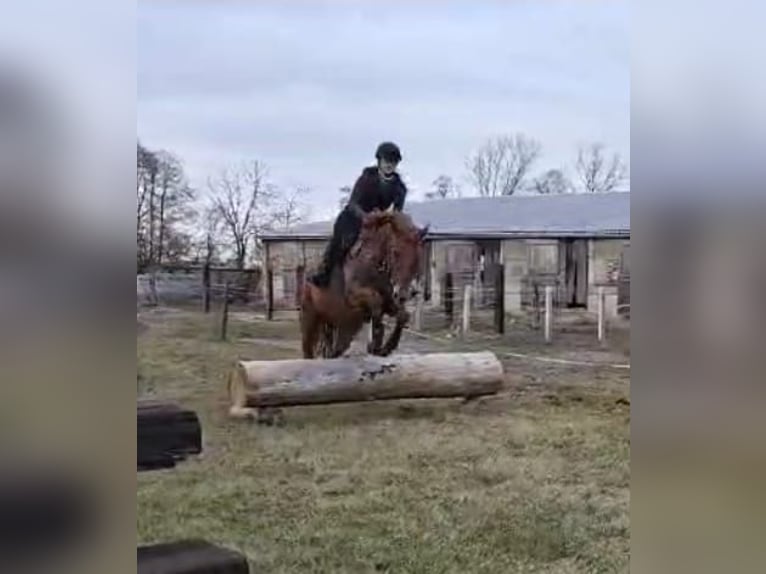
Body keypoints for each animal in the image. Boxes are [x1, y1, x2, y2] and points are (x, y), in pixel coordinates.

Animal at [300, 209, 432, 360]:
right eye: (395, 252)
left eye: (418, 256)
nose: (403, 294)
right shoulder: (354, 296)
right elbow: (376, 303)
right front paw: (376, 341)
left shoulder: (390, 301)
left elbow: (403, 315)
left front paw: (386, 347)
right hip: (310, 319)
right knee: (308, 349)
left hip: (345, 327)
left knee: (335, 349)